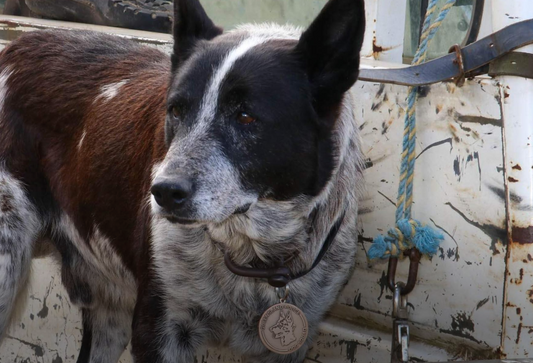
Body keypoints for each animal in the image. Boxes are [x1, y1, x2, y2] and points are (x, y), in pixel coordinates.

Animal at [0, 0, 364, 362]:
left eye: (246, 116)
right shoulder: (158, 330)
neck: (252, 255)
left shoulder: (290, 346)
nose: (163, 192)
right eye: (175, 110)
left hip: (108, 312)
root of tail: (14, 47)